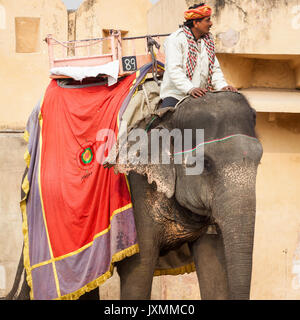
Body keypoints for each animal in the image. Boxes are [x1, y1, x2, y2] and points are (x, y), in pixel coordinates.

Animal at [4, 89, 262, 300]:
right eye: (205, 164)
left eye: (259, 160)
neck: (168, 118)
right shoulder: (135, 191)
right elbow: (139, 268)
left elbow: (213, 268)